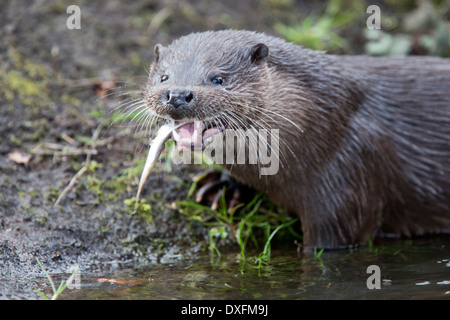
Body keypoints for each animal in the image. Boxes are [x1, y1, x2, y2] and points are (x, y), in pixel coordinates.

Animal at [142, 30, 450, 250]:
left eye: (218, 78)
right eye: (163, 77)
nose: (177, 94)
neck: (327, 123)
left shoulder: (350, 177)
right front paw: (221, 186)